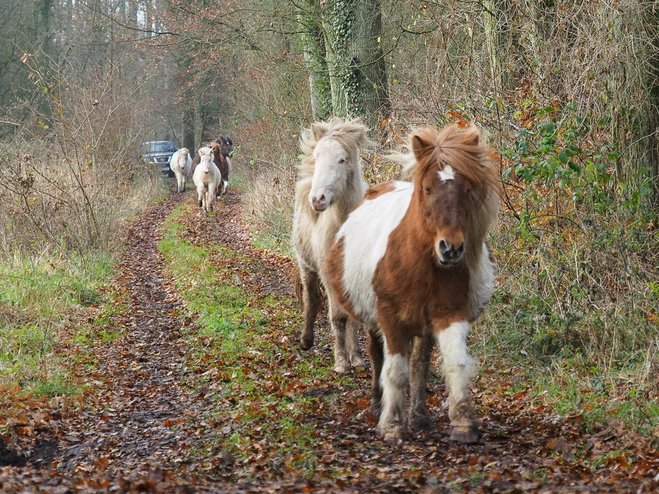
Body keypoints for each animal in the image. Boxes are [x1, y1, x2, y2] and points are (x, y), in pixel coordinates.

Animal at [294, 118, 372, 374]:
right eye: (317, 156)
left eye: (342, 160)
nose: (317, 199)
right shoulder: (328, 276)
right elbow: (338, 317)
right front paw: (341, 362)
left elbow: (353, 318)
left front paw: (356, 358)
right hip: (306, 267)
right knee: (311, 301)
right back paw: (306, 340)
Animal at [324, 123, 500, 444]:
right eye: (427, 189)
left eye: (466, 190)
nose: (451, 249)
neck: (423, 266)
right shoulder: (390, 320)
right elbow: (394, 371)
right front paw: (392, 426)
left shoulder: (449, 316)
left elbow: (453, 365)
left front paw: (462, 423)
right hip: (374, 321)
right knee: (378, 357)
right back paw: (377, 405)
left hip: (422, 326)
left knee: (419, 365)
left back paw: (418, 417)